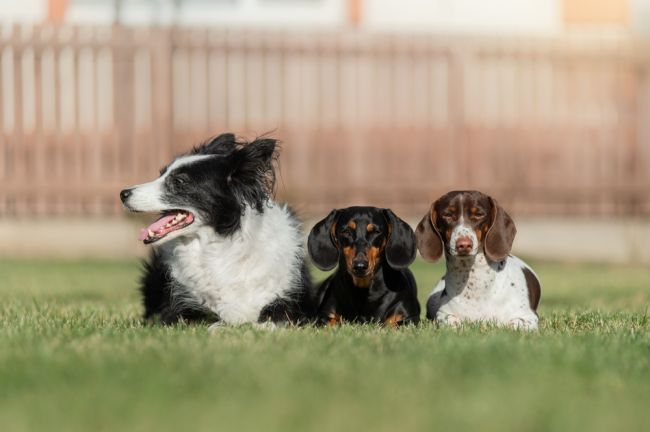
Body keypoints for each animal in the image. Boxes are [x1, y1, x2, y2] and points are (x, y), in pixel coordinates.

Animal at [122, 134, 316, 328]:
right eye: (161, 174)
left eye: (179, 181)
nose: (123, 194)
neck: (217, 245)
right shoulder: (178, 309)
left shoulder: (289, 303)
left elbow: (274, 319)